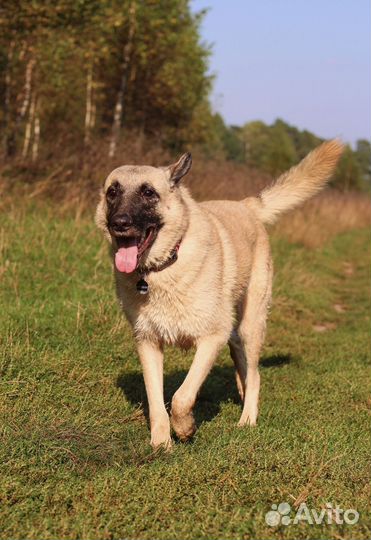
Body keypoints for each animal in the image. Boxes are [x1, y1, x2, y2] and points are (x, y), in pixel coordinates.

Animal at [95, 138, 342, 448]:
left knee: (256, 375)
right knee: (244, 366)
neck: (162, 268)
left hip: (251, 325)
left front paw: (185, 428)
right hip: (235, 332)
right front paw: (161, 444)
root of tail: (246, 205)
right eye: (112, 192)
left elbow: (181, 396)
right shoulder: (148, 342)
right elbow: (156, 402)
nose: (119, 223)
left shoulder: (211, 338)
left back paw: (247, 419)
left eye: (148, 193)